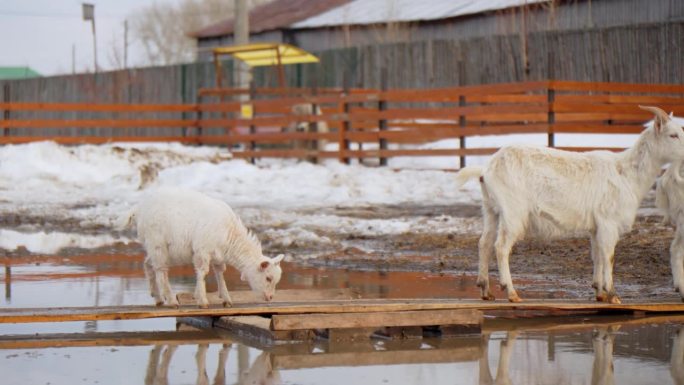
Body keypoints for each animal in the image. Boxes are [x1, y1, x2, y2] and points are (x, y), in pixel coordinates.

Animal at [125, 184, 284, 308]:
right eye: (268, 278)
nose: (270, 297)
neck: (230, 235)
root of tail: (139, 208)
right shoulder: (202, 251)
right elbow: (202, 272)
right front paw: (202, 300)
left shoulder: (218, 256)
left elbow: (220, 273)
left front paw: (226, 299)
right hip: (157, 244)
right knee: (160, 271)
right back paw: (171, 300)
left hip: (158, 249)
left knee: (148, 265)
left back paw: (157, 298)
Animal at [456, 105, 684, 304]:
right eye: (673, 135)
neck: (626, 172)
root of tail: (486, 170)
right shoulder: (608, 222)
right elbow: (609, 256)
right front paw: (613, 295)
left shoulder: (596, 226)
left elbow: (597, 255)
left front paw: (599, 292)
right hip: (513, 211)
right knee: (501, 247)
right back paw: (511, 292)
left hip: (491, 209)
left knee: (484, 243)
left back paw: (485, 290)